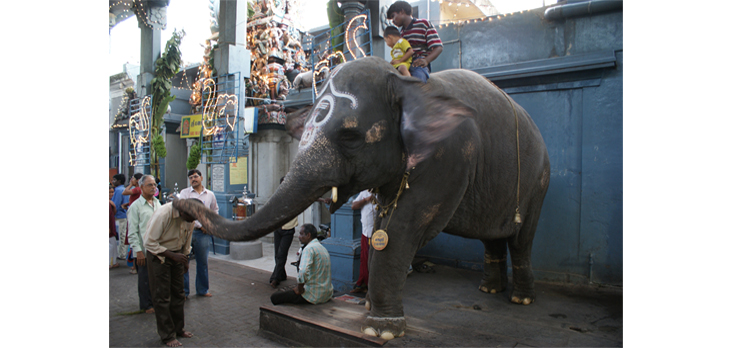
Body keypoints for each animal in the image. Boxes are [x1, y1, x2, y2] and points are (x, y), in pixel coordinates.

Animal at [173, 56, 548, 340]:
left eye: (350, 136)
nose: (180, 203)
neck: (402, 83)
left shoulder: (448, 158)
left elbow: (401, 230)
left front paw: (381, 330)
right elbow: (384, 223)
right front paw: (371, 309)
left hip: (538, 181)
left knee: (522, 239)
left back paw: (521, 299)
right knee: (493, 238)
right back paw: (489, 291)